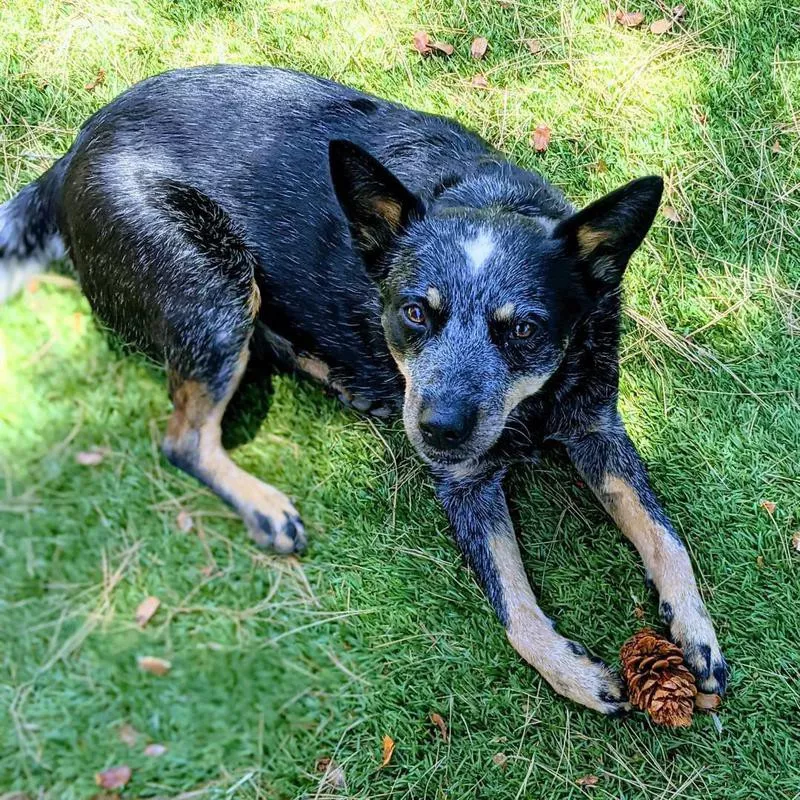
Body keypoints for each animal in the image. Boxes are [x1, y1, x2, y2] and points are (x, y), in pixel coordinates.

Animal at [0, 64, 724, 712]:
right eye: (414, 312)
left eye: (523, 329)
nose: (437, 429)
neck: (534, 405)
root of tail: (67, 159)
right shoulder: (465, 482)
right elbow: (516, 609)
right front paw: (575, 675)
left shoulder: (598, 427)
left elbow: (665, 539)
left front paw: (696, 632)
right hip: (215, 288)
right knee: (183, 439)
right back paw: (265, 504)